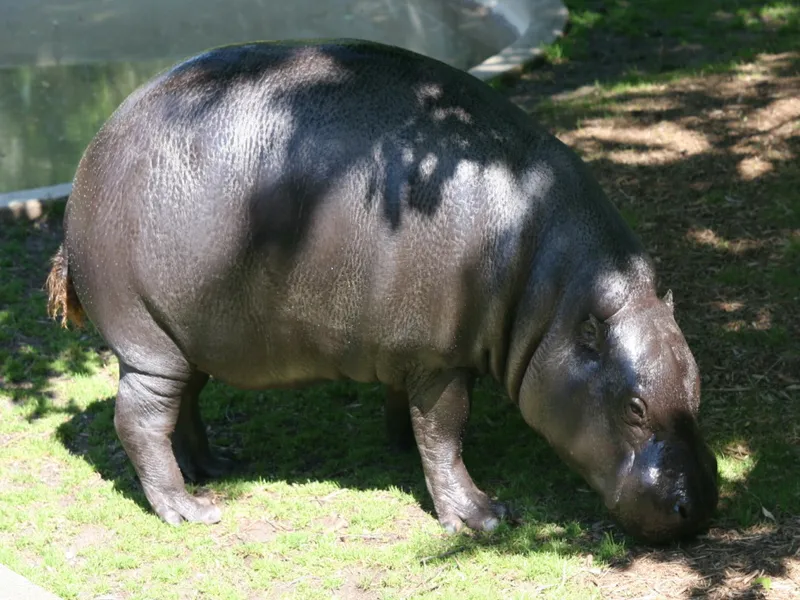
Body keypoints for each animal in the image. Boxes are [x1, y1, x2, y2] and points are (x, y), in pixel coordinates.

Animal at [47, 37, 716, 544]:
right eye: (634, 407)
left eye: (697, 383)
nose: (702, 506)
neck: (551, 293)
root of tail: (90, 155)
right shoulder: (440, 359)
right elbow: (444, 431)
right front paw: (482, 517)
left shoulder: (409, 351)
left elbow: (412, 415)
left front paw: (400, 448)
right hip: (147, 340)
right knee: (140, 420)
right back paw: (190, 510)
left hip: (190, 334)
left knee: (183, 406)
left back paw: (218, 469)